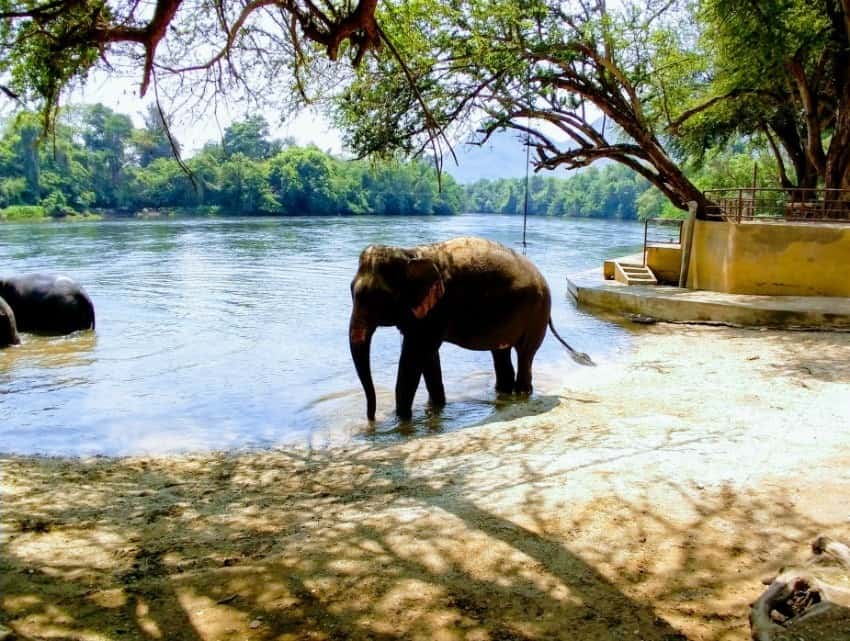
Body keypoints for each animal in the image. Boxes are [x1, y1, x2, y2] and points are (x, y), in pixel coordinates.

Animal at [349, 236, 593, 421]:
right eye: (351, 291)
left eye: (378, 298)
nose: (371, 420)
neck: (409, 252)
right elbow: (428, 357)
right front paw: (436, 408)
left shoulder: (437, 310)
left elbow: (414, 356)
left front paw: (401, 419)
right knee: (501, 353)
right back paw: (503, 393)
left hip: (537, 313)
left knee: (525, 353)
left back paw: (522, 393)